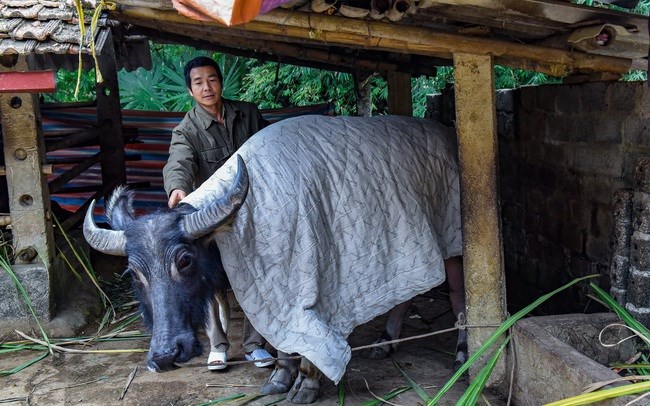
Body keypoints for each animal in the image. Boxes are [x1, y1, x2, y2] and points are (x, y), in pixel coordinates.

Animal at [83, 114, 464, 402]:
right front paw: (281, 377)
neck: (237, 222)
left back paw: (462, 352)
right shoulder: (274, 289)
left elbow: (308, 342)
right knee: (407, 290)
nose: (163, 356)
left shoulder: (307, 288)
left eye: (184, 260)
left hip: (453, 236)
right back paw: (386, 343)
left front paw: (306, 383)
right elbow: (281, 340)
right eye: (134, 273)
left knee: (459, 291)